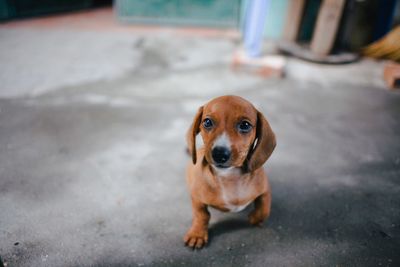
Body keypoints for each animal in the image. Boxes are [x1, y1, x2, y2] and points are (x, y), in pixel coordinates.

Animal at [184, 96, 276, 249]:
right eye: (207, 122)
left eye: (245, 125)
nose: (219, 153)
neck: (230, 177)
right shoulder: (196, 198)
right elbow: (201, 215)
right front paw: (197, 234)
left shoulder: (265, 190)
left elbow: (265, 208)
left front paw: (255, 218)